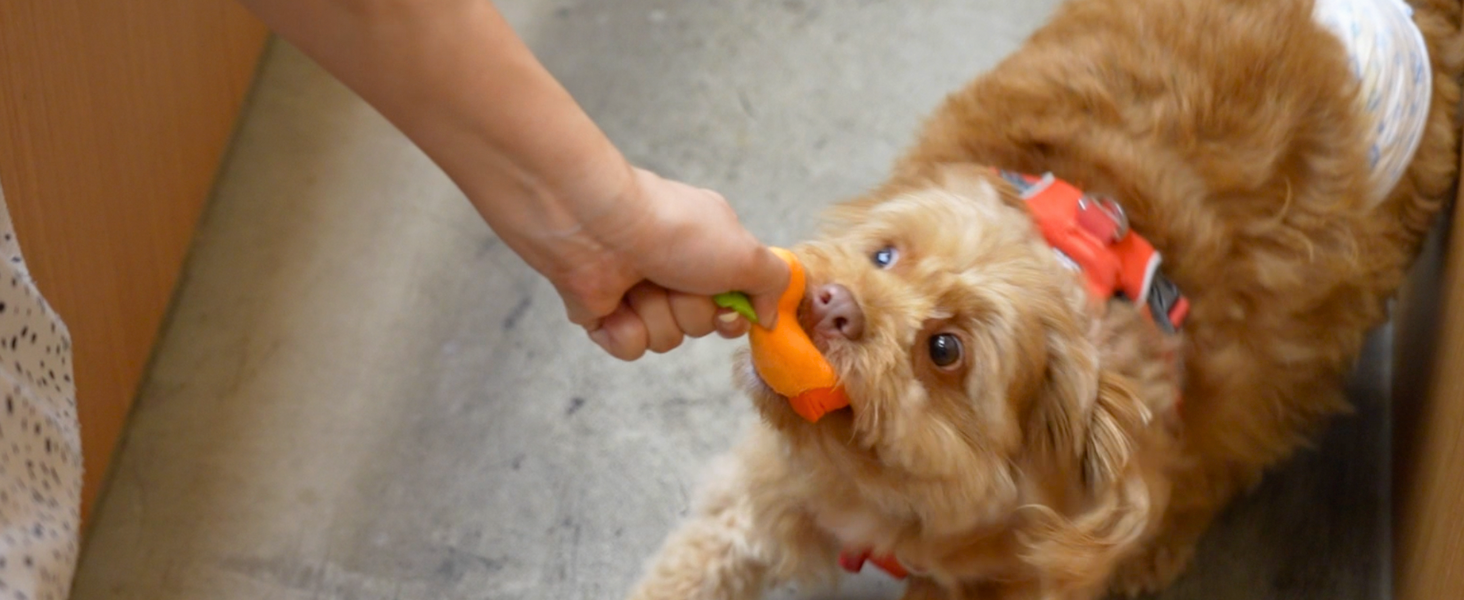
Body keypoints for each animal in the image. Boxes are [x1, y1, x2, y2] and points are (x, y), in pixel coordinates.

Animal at [626, 0, 1452, 597]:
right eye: (885, 254)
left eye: (945, 350)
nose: (831, 302)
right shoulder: (767, 495)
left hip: (1291, 358)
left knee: (1227, 449)